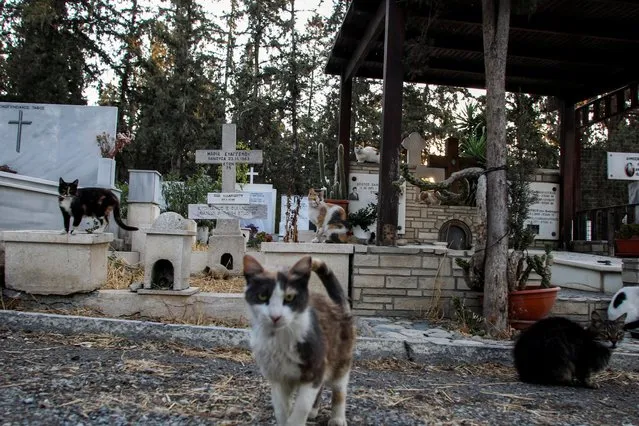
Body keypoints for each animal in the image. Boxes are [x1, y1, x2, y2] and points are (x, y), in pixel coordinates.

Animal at [244, 255, 356, 424]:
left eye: (289, 297)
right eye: (262, 296)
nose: (275, 316)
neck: (280, 338)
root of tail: (336, 304)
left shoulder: (315, 368)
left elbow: (301, 406)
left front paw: (296, 420)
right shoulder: (277, 377)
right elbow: (281, 408)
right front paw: (284, 420)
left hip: (341, 357)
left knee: (339, 388)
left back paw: (337, 418)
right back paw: (313, 411)